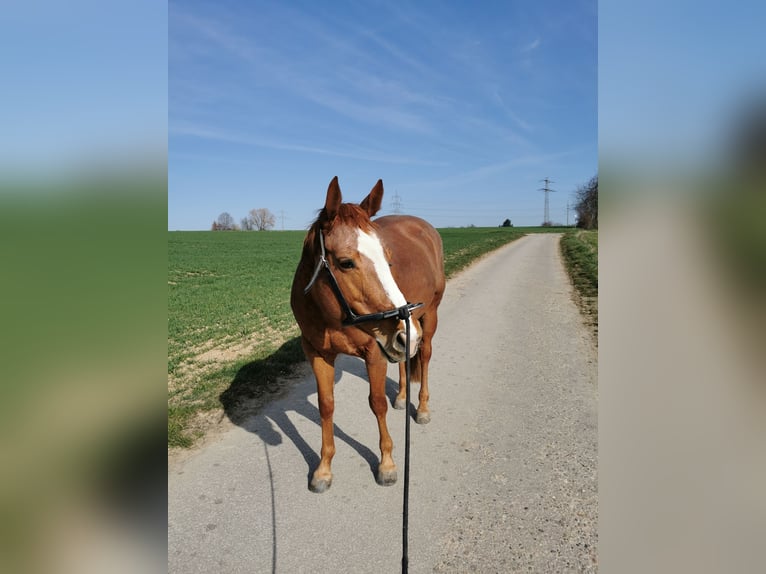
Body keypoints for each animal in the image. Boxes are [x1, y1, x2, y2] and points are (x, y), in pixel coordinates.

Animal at [290, 176, 445, 492]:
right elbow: (326, 406)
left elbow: (377, 403)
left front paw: (386, 463)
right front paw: (324, 468)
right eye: (346, 262)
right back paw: (402, 396)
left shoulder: (374, 353)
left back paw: (422, 407)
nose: (407, 333)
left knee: (423, 357)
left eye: (388, 259)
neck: (331, 315)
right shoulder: (317, 353)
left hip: (425, 320)